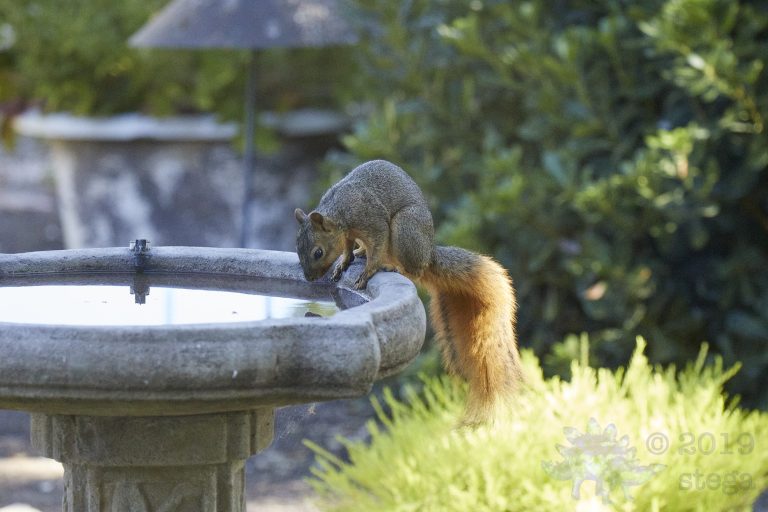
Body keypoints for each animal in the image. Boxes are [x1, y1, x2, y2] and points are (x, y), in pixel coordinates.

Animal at [294, 159, 522, 425]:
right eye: (297, 247)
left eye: (318, 252)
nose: (309, 278)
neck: (340, 211)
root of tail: (428, 253)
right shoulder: (350, 234)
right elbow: (348, 248)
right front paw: (344, 262)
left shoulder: (372, 221)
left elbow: (377, 245)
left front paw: (366, 272)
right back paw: (362, 253)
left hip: (406, 229)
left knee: (412, 269)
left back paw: (392, 266)